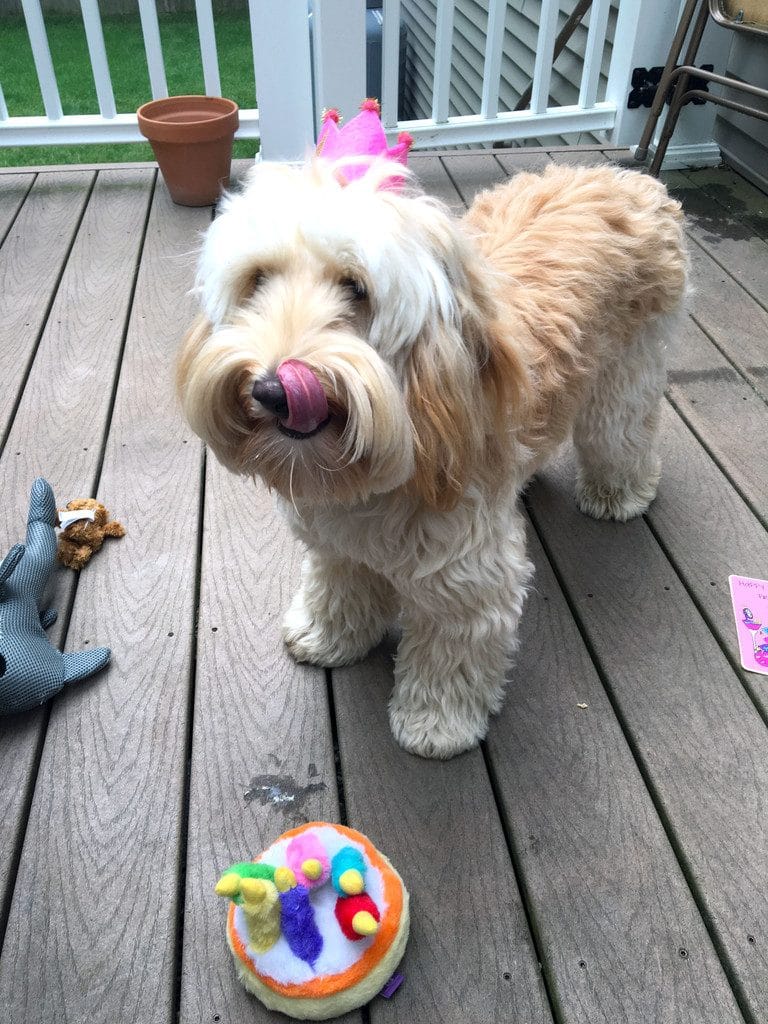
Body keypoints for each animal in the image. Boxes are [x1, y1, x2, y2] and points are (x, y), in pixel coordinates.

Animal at [177, 155, 688, 757]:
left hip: (625, 377)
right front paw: (327, 635)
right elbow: (339, 586)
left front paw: (435, 724)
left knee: (622, 434)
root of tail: (622, 177)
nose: (273, 390)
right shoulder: (336, 546)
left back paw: (617, 493)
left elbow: (450, 655)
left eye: (355, 287)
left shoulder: (466, 575)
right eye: (257, 280)